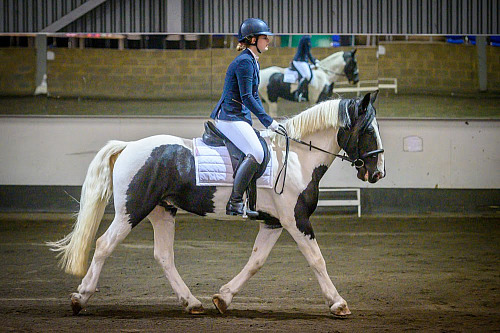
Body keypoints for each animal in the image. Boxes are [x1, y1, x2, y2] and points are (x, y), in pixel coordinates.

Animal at [47, 91, 386, 316]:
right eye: (368, 130)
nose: (377, 172)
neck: (298, 158)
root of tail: (128, 146)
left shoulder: (274, 222)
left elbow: (256, 261)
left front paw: (223, 298)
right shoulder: (296, 221)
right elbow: (317, 260)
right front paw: (338, 303)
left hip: (162, 211)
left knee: (163, 256)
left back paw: (192, 303)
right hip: (133, 210)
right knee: (105, 245)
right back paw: (80, 298)